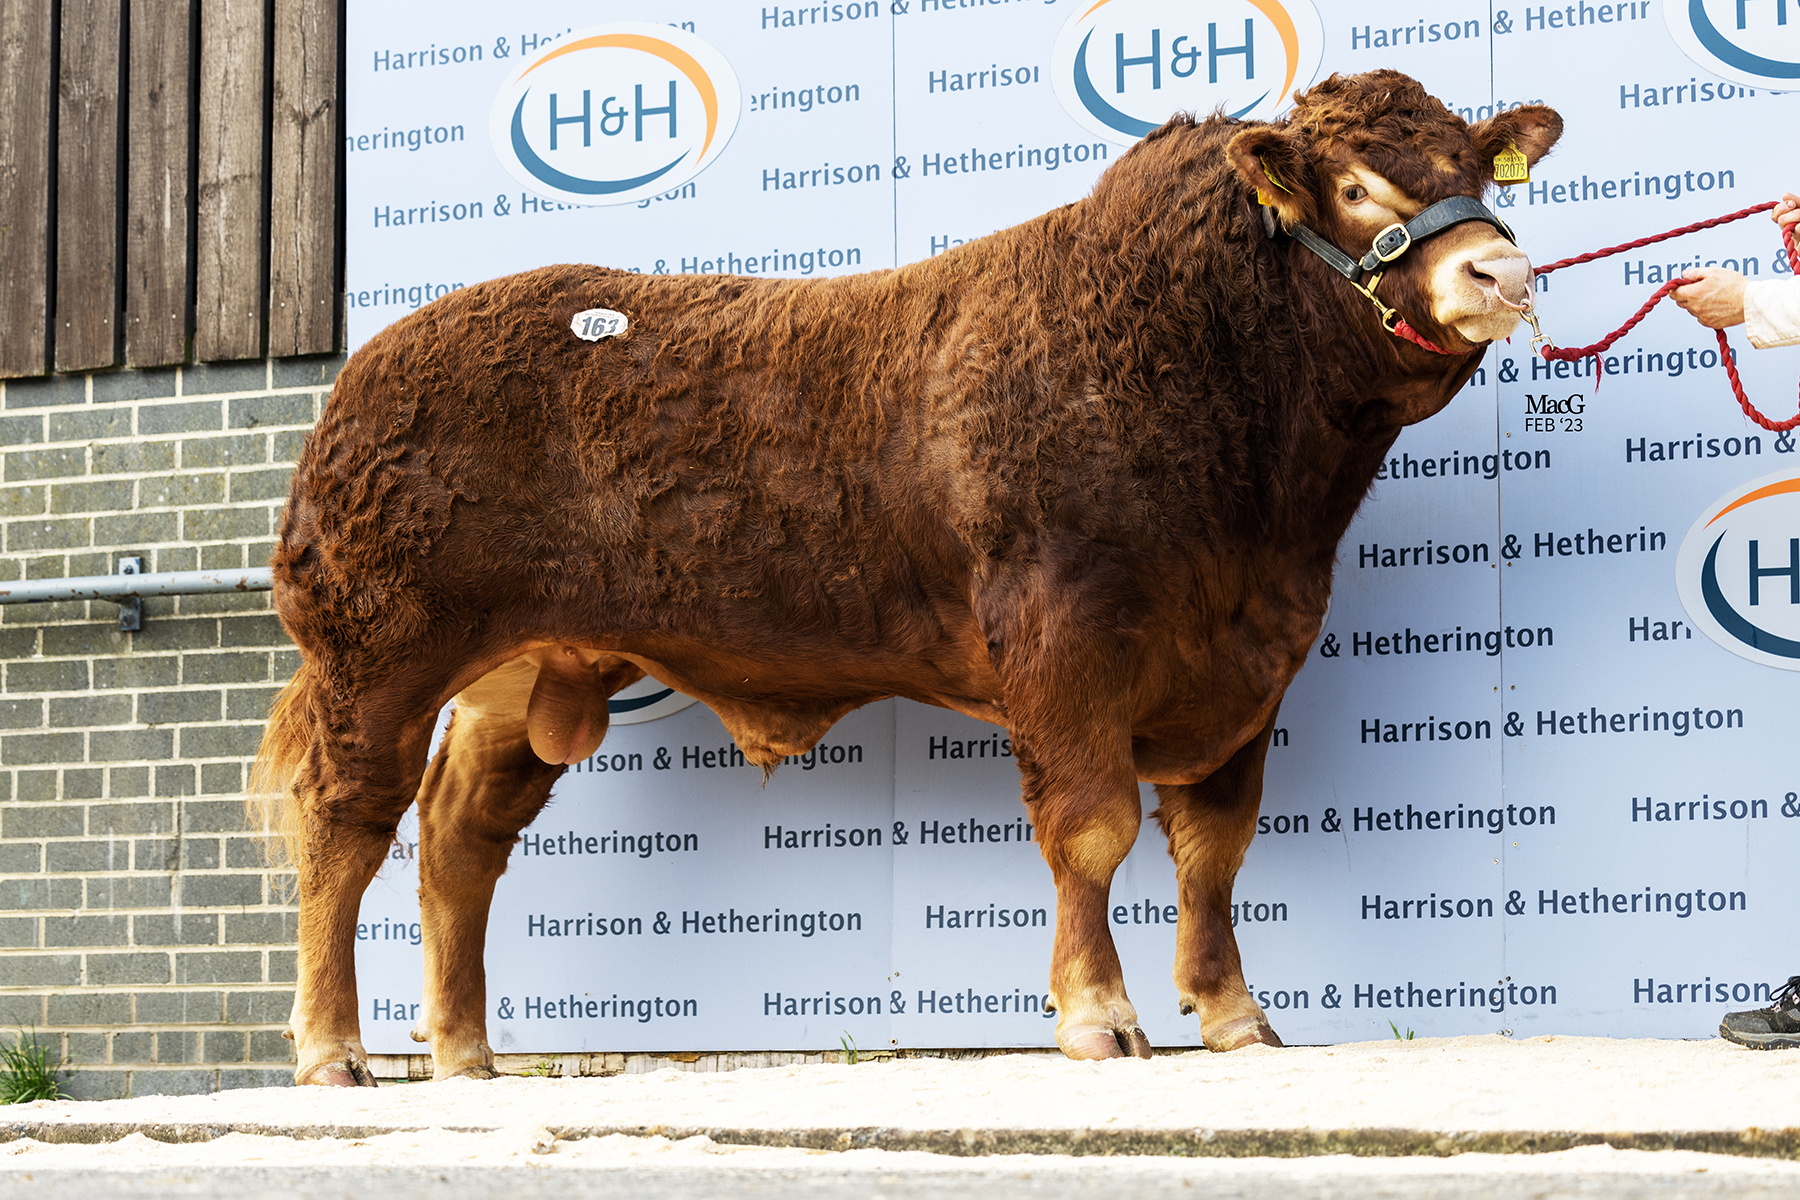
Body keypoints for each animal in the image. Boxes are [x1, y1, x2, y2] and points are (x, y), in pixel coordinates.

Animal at [253, 70, 1562, 1086]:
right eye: (1357, 187)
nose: (1504, 275)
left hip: (521, 675)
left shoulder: (1252, 665)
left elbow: (1214, 850)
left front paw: (1237, 1016)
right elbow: (1094, 828)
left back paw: (467, 1055)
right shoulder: (1064, 639)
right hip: (380, 653)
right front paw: (1100, 1019)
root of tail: (376, 359)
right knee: (347, 824)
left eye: (1483, 176)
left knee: (460, 835)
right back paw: (332, 1050)